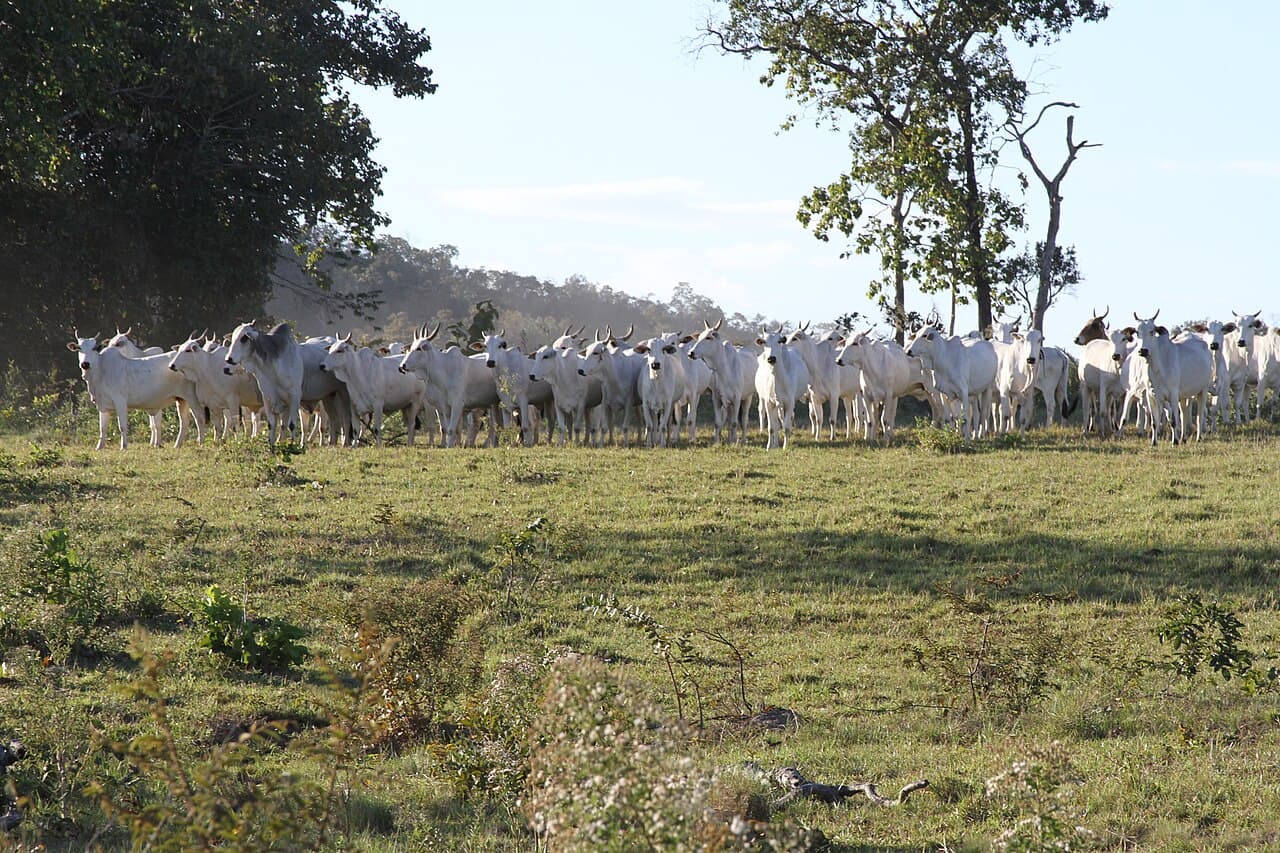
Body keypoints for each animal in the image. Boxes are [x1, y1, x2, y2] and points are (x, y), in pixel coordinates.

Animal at [68, 332, 203, 450]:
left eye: (95, 348)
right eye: (79, 348)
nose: (85, 364)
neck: (100, 371)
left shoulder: (120, 401)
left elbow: (122, 426)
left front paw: (123, 446)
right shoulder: (103, 406)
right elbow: (102, 428)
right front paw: (99, 447)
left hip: (192, 398)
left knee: (199, 418)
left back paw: (201, 442)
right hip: (181, 400)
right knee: (184, 421)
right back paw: (177, 445)